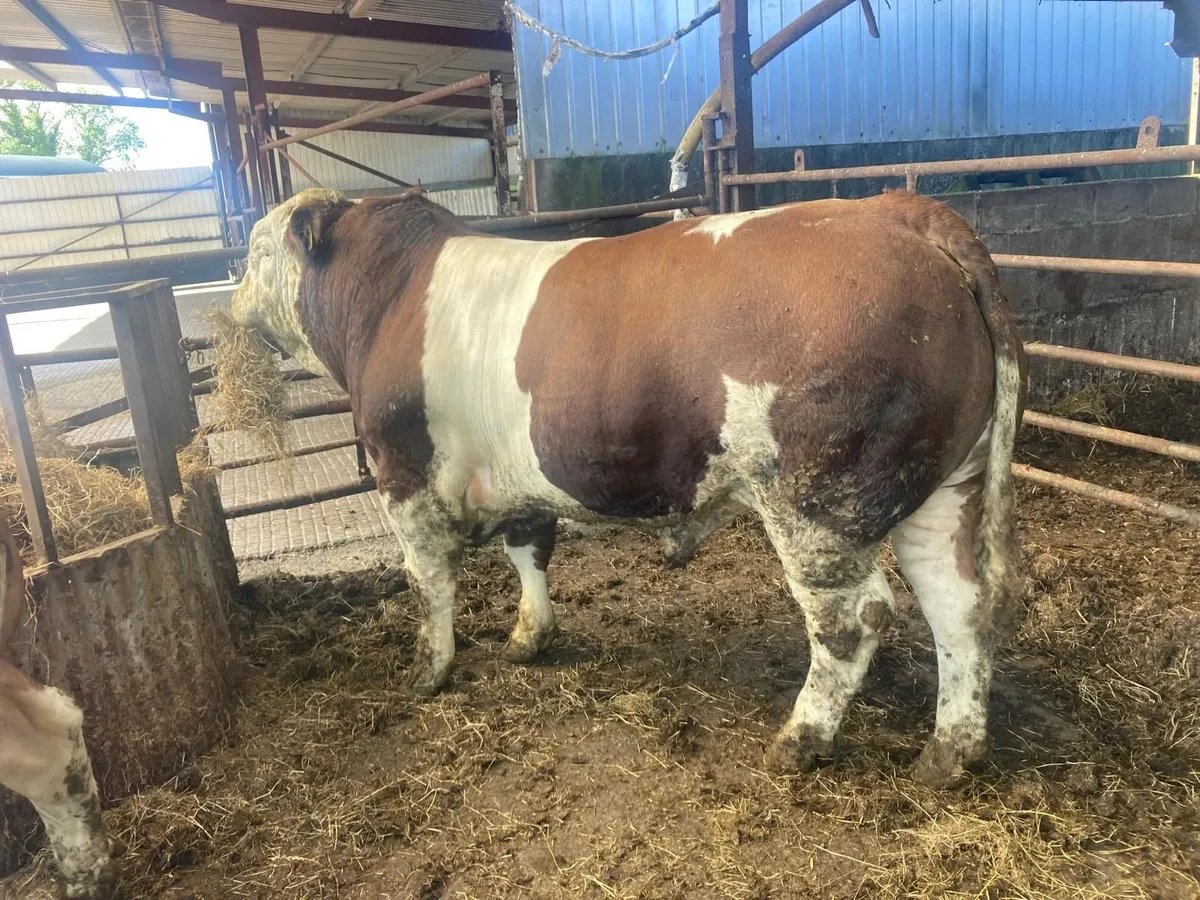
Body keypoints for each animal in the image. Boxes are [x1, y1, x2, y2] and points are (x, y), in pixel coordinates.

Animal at [231, 187, 1025, 788]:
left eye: (254, 251)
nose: (233, 304)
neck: (391, 297)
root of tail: (897, 211)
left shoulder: (403, 473)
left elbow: (428, 580)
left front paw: (429, 670)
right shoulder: (522, 481)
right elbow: (529, 552)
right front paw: (529, 637)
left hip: (817, 504)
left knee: (852, 619)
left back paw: (798, 740)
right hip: (948, 486)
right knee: (960, 604)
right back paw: (950, 752)